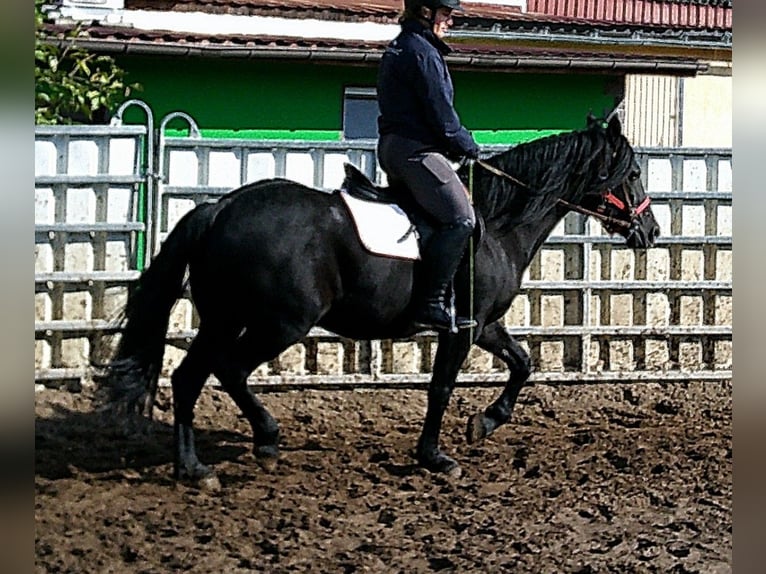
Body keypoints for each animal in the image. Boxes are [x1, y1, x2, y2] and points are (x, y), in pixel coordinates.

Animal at [98, 115, 660, 488]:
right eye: (632, 172)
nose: (650, 231)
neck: (497, 222)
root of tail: (219, 208)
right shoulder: (462, 329)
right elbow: (441, 389)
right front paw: (436, 456)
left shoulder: (484, 325)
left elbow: (522, 364)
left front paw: (484, 423)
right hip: (278, 324)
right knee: (229, 371)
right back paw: (266, 440)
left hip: (223, 318)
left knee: (188, 378)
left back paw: (193, 469)